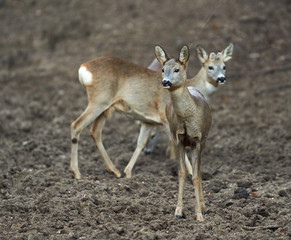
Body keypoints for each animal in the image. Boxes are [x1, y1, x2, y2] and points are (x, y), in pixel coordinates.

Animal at [155, 44, 212, 221]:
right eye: (162, 69)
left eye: (177, 69)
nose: (165, 81)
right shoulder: (178, 139)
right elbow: (181, 173)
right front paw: (178, 211)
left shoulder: (197, 139)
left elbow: (195, 175)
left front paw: (199, 214)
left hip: (204, 139)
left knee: (199, 169)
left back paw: (203, 207)